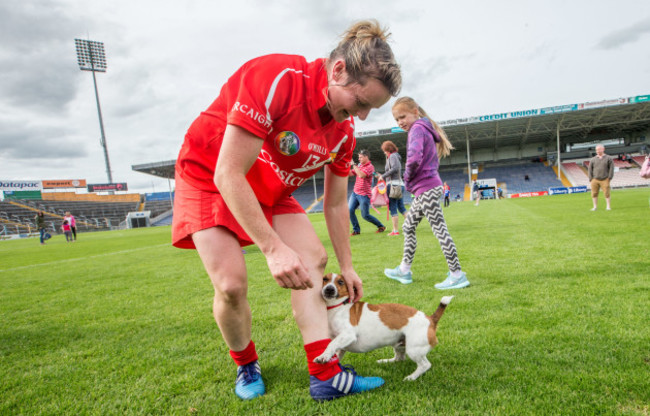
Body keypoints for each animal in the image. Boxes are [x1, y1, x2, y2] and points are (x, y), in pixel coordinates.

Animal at [314, 272, 450, 382]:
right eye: (324, 279)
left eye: (341, 282)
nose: (329, 289)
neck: (336, 307)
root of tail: (430, 319)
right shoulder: (342, 346)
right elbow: (336, 352)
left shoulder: (348, 335)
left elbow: (331, 344)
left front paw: (323, 356)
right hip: (400, 344)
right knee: (399, 358)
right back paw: (386, 361)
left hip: (414, 349)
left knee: (425, 365)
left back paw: (412, 377)